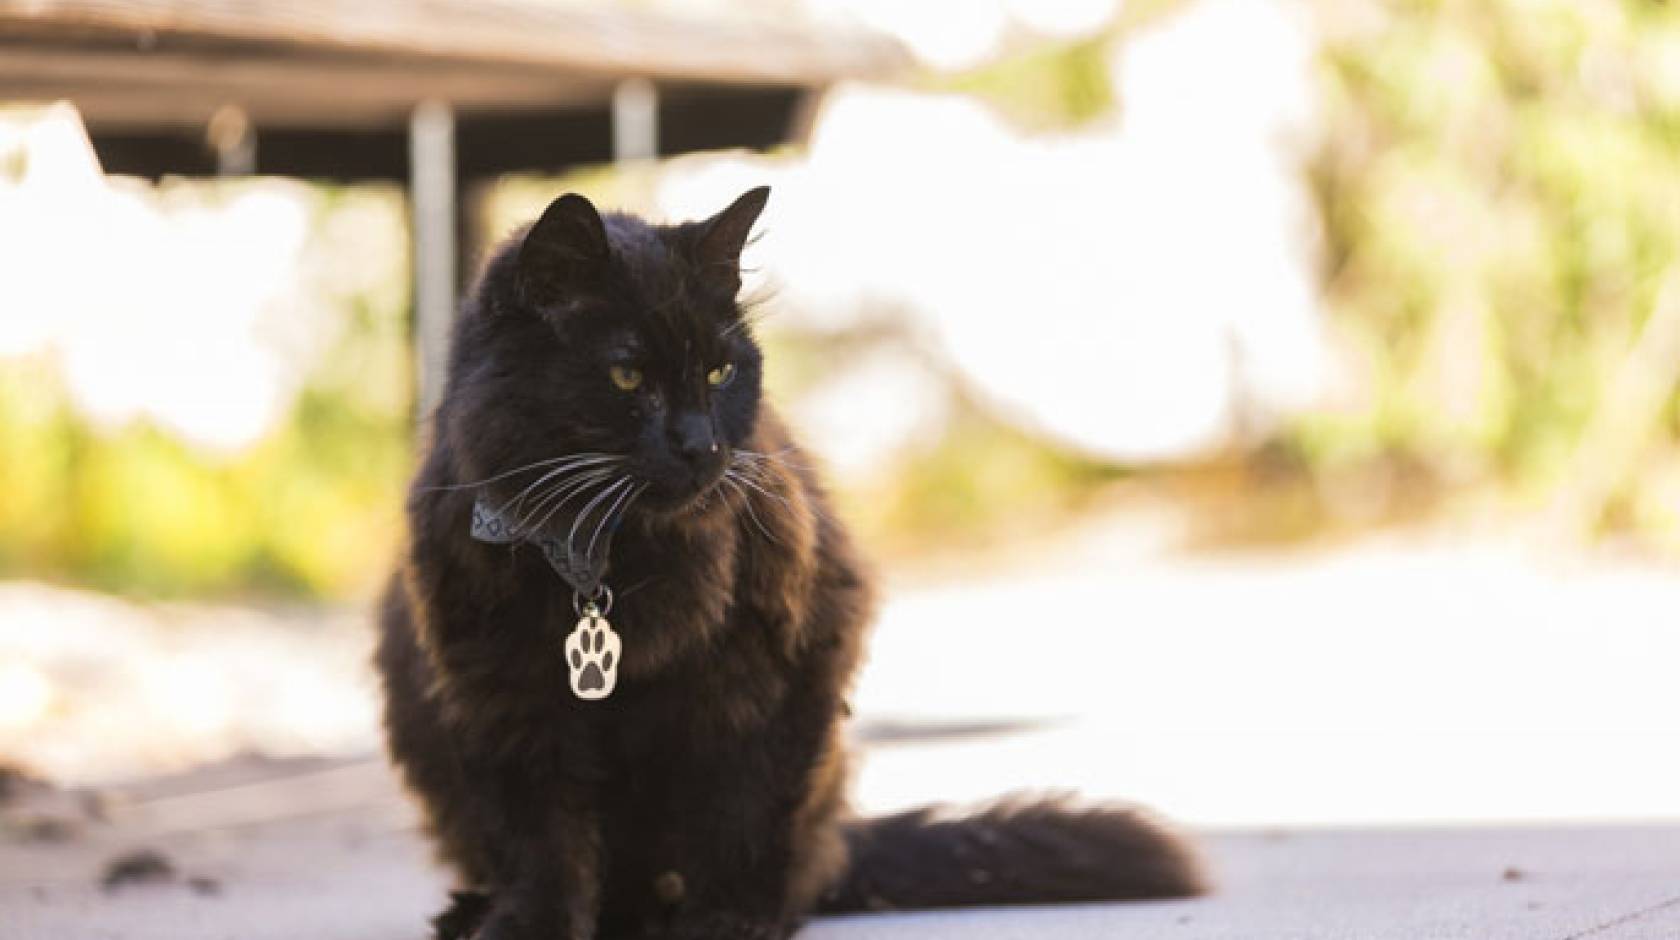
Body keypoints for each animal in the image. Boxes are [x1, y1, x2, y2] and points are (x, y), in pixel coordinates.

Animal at [378, 185, 1209, 940]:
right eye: (627, 376)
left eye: (720, 373)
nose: (701, 445)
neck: (609, 558)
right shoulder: (501, 692)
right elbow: (539, 838)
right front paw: (530, 924)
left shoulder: (781, 653)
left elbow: (743, 807)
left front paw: (727, 920)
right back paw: (480, 910)